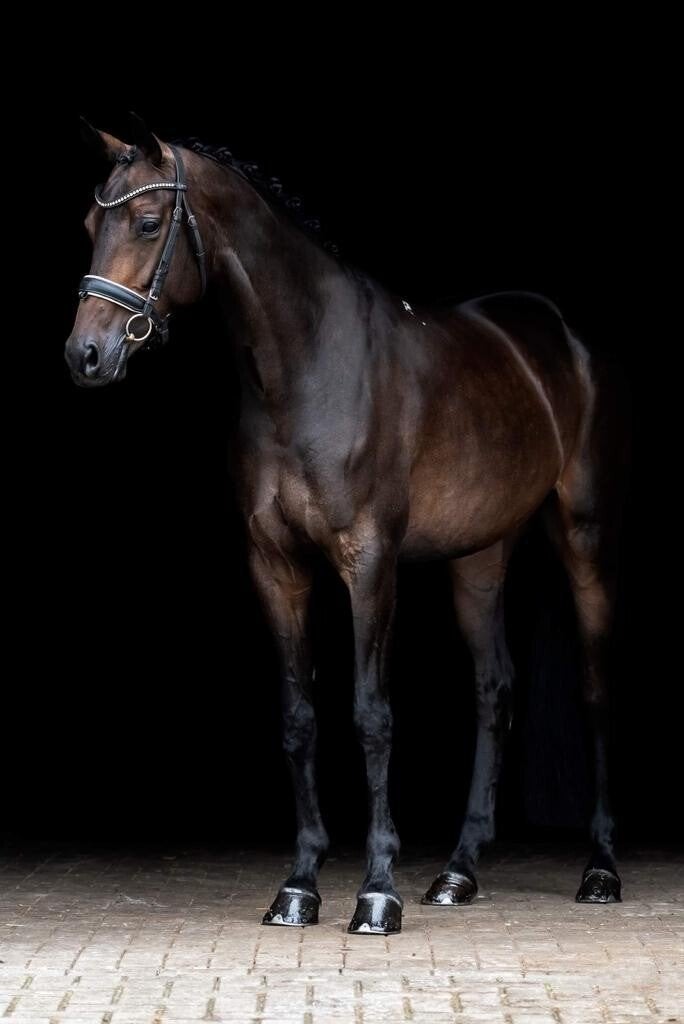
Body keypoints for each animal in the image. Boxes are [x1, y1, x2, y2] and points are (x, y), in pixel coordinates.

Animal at [65, 115, 629, 935]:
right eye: (88, 225)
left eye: (144, 221)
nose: (87, 354)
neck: (306, 368)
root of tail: (560, 334)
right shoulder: (276, 567)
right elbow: (300, 716)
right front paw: (299, 885)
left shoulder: (370, 562)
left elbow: (371, 715)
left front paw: (378, 890)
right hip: (479, 557)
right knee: (493, 690)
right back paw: (458, 872)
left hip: (581, 534)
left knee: (593, 690)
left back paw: (601, 869)